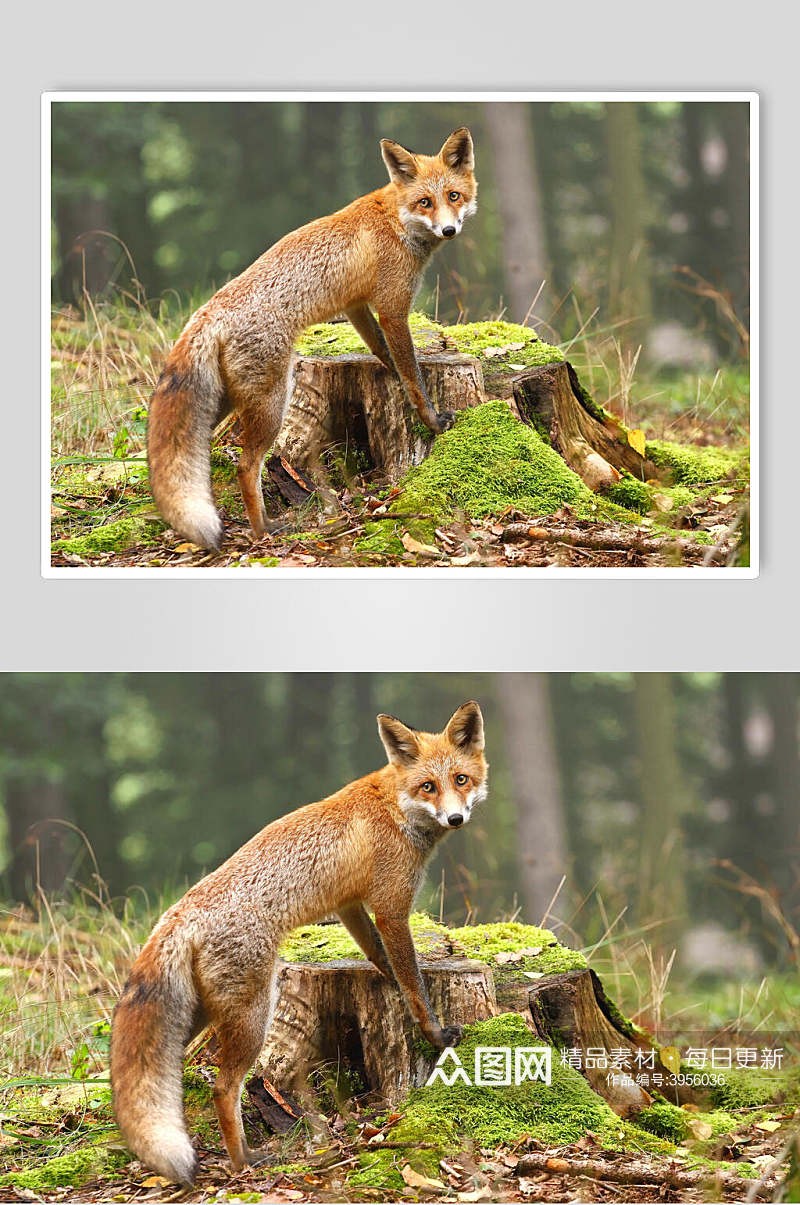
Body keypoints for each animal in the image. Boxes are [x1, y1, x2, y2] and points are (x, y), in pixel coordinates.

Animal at [110, 703, 486, 1180]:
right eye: (428, 787)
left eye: (461, 779)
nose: (456, 818)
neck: (395, 806)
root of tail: (180, 912)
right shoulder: (391, 909)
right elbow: (415, 985)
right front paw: (435, 1034)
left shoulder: (349, 906)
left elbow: (382, 959)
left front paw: (393, 981)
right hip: (255, 1013)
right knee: (223, 1088)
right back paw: (243, 1161)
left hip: (199, 1015)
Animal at [145, 127, 474, 551]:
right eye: (425, 202)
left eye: (454, 196)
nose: (449, 229)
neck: (396, 219)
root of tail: (209, 311)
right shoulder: (393, 309)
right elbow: (414, 377)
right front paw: (432, 420)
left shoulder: (356, 307)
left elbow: (385, 354)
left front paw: (396, 376)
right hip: (273, 400)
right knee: (245, 466)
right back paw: (263, 530)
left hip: (223, 403)